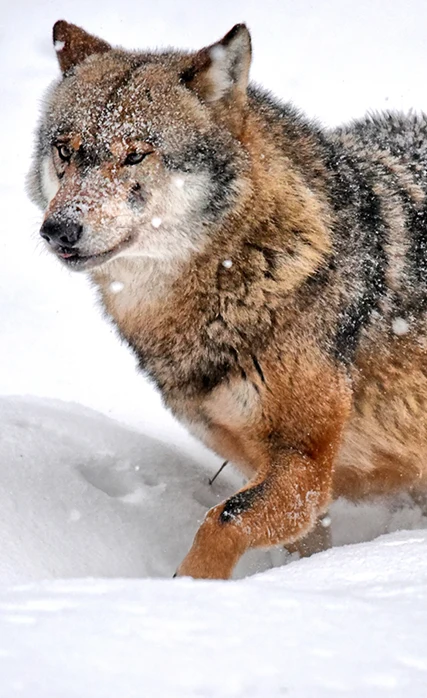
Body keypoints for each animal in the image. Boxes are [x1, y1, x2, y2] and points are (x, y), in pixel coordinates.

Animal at [28, 20, 427, 576]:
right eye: (66, 150)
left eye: (136, 153)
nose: (59, 229)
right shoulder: (280, 475)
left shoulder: (305, 464)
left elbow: (224, 519)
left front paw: (188, 591)